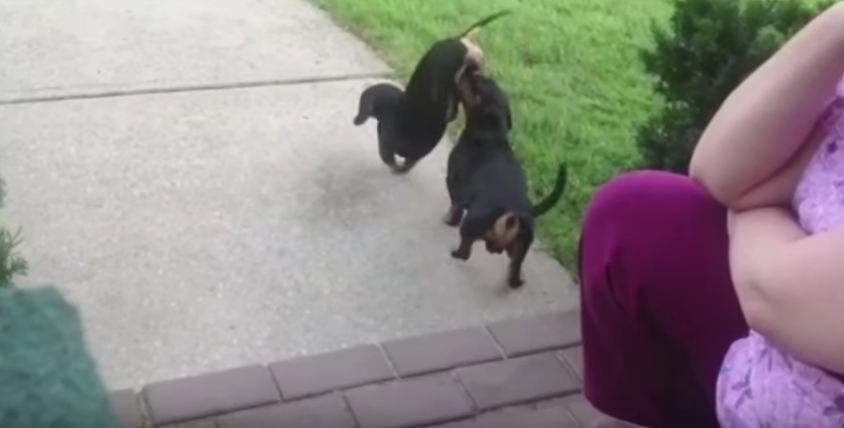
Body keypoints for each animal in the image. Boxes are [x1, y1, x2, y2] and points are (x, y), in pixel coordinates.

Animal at [442, 69, 568, 288]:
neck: (491, 133)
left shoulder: (454, 183)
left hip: (472, 223)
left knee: (465, 251)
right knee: (514, 271)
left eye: (478, 86)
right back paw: (517, 281)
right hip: (520, 249)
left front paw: (448, 220)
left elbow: (455, 208)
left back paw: (455, 253)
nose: (471, 70)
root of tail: (517, 211)